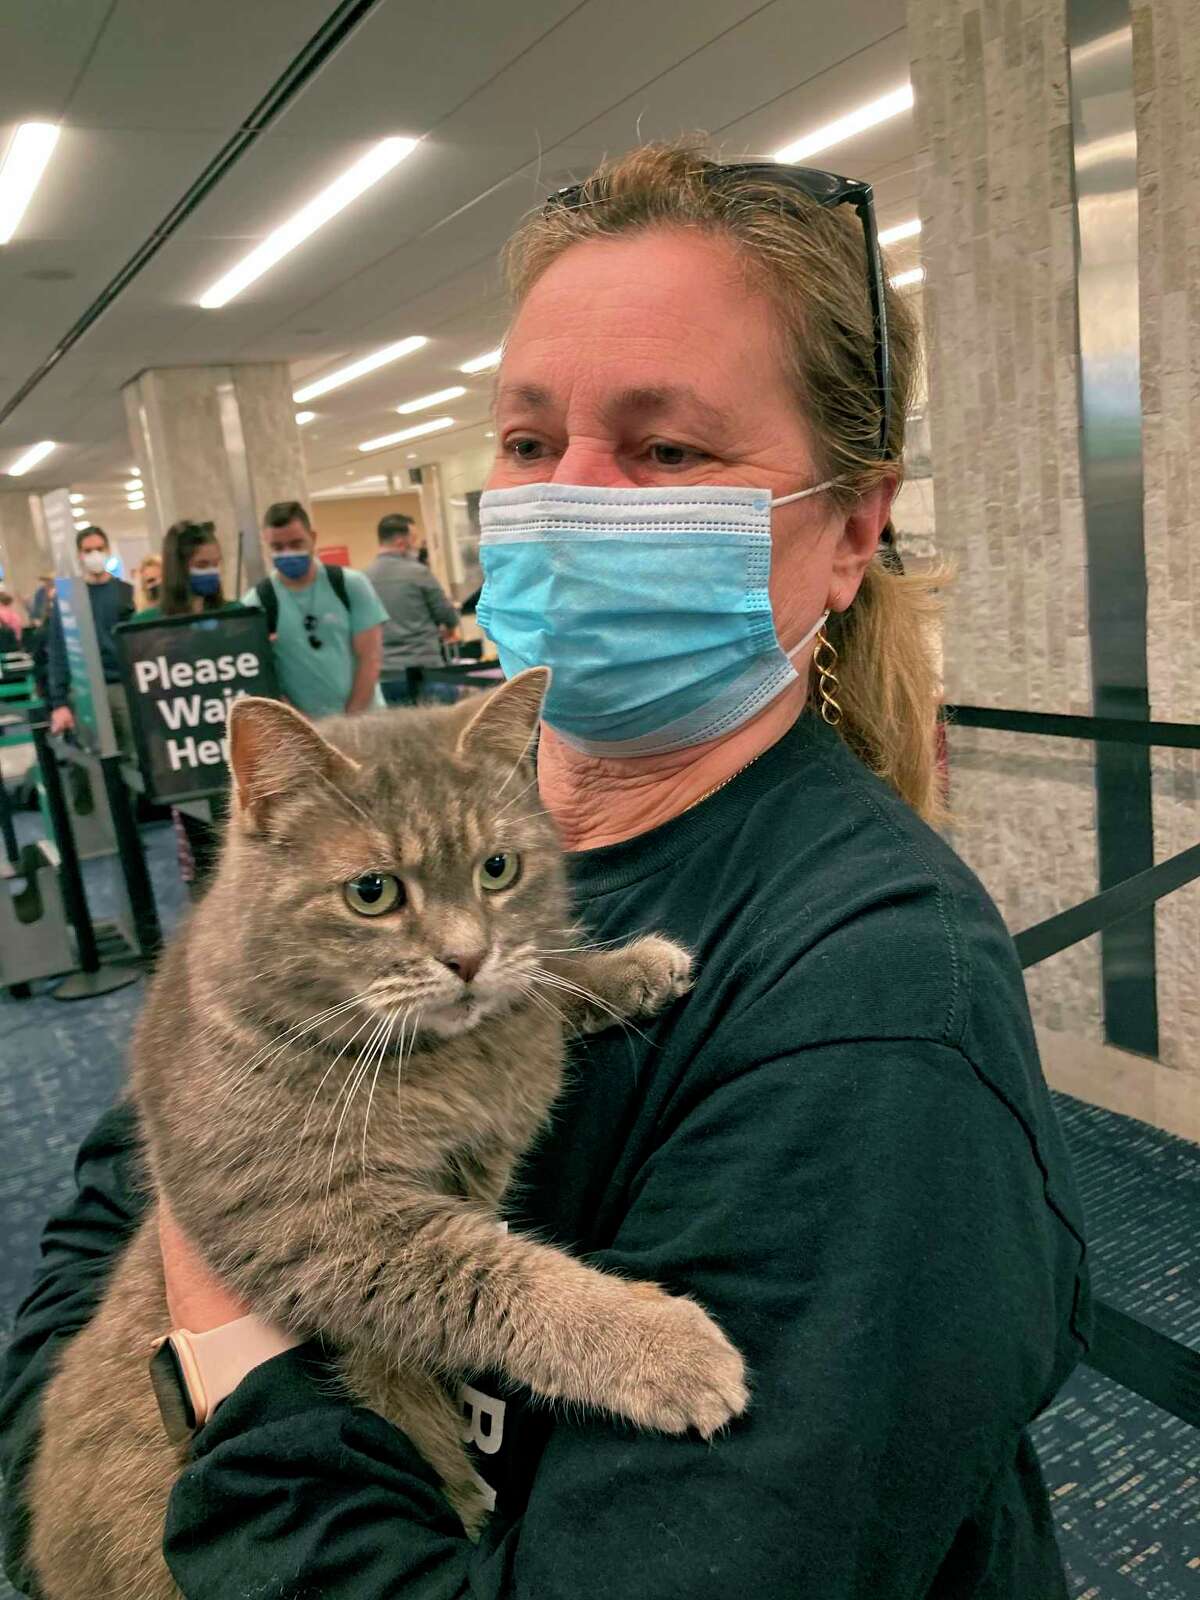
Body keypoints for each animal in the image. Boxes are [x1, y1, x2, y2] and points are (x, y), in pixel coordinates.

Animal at [28, 672, 748, 1600]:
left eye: (497, 869)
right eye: (372, 892)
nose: (467, 959)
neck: (452, 1061)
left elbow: (543, 979)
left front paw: (624, 968)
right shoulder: (320, 1224)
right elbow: (498, 1283)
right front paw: (659, 1347)